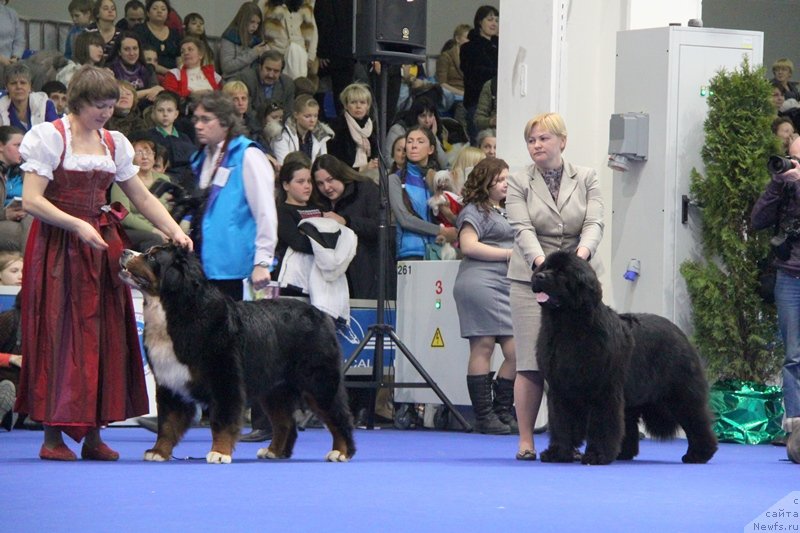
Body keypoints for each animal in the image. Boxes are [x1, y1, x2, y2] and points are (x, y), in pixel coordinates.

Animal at [119, 243, 356, 464]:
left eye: (152, 257)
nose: (124, 252)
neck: (179, 312)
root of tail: (320, 314)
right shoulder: (170, 382)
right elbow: (167, 424)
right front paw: (158, 452)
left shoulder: (225, 381)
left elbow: (222, 421)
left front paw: (219, 452)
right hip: (275, 390)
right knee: (285, 422)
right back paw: (274, 451)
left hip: (319, 382)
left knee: (338, 417)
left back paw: (341, 451)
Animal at [532, 251, 720, 464]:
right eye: (545, 267)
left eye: (562, 272)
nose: (539, 276)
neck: (568, 328)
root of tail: (678, 331)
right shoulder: (560, 389)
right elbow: (561, 423)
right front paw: (558, 453)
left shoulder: (603, 390)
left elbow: (602, 424)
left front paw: (596, 455)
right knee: (628, 423)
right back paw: (623, 453)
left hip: (680, 392)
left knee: (696, 419)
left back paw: (699, 454)